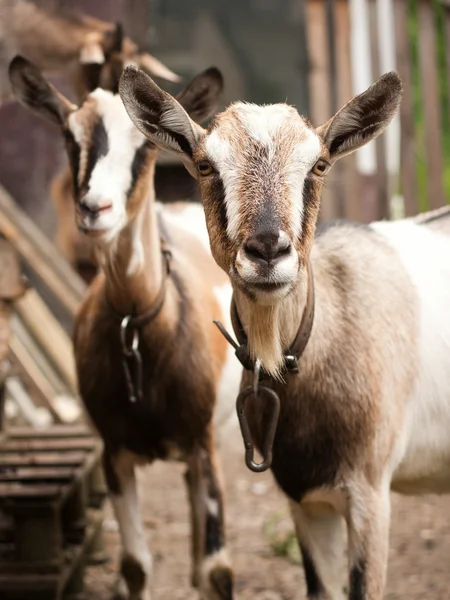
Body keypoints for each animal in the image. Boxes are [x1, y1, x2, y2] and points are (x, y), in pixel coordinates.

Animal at [8, 57, 241, 600]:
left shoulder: (205, 442)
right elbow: (135, 566)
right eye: (69, 137)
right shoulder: (114, 453)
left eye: (145, 145)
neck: (142, 327)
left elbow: (217, 571)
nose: (96, 209)